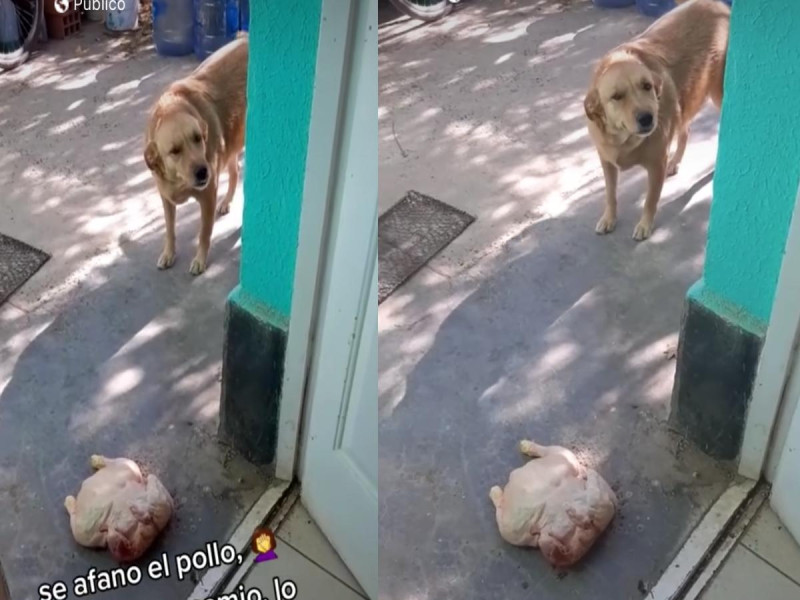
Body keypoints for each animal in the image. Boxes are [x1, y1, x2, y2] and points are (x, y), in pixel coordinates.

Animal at [144, 35, 248, 274]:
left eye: (198, 138)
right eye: (174, 151)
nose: (203, 172)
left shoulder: (207, 196)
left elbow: (204, 234)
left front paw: (200, 259)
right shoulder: (166, 199)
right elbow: (170, 230)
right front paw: (169, 253)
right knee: (235, 171)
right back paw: (226, 201)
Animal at [584, 0, 728, 240]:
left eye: (647, 86)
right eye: (617, 96)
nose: (646, 118)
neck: (624, 140)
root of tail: (717, 5)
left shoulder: (656, 165)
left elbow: (650, 200)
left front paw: (645, 225)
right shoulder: (607, 162)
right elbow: (610, 194)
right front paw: (609, 218)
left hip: (719, 92)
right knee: (685, 130)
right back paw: (676, 161)